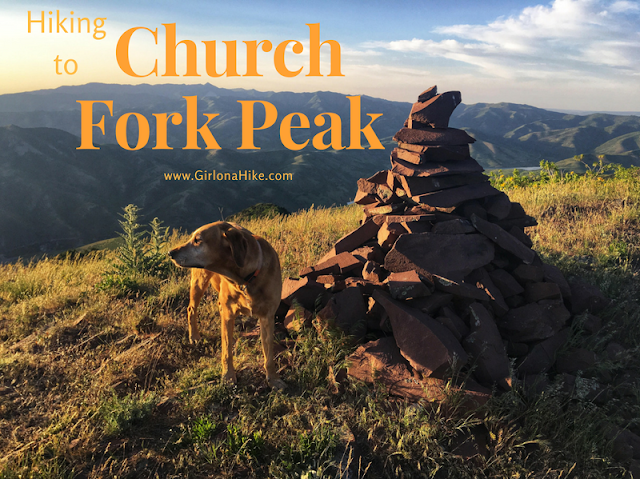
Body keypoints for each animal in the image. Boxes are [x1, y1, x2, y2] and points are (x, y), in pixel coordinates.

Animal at [169, 221, 284, 390]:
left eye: (197, 240)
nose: (170, 253)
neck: (246, 279)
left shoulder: (267, 317)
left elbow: (269, 353)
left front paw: (273, 379)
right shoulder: (228, 315)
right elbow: (226, 351)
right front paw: (228, 376)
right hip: (199, 281)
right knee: (191, 309)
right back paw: (194, 336)